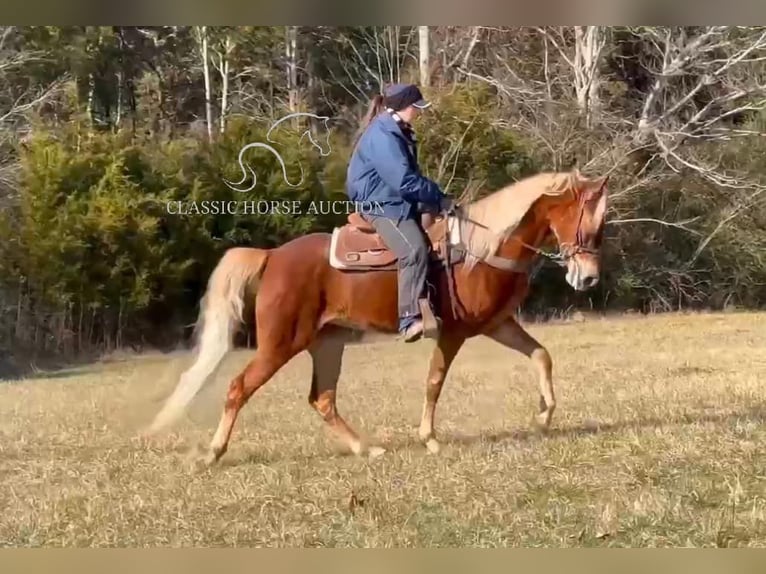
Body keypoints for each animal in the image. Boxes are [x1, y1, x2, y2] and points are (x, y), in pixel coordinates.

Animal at [148, 169, 612, 466]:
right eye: (589, 225)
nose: (588, 278)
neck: (480, 250)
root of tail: (273, 256)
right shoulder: (454, 332)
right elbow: (434, 381)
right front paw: (429, 439)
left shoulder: (496, 325)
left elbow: (541, 355)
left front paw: (544, 416)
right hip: (280, 344)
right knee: (238, 387)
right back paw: (213, 453)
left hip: (328, 342)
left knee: (322, 399)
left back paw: (366, 449)